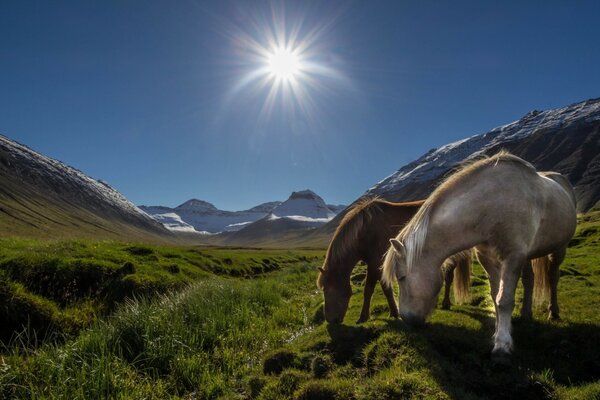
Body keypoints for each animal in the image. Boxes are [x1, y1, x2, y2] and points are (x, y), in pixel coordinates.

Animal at [316, 198, 472, 324]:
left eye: (327, 290)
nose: (330, 320)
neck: (365, 231)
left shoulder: (375, 264)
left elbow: (371, 290)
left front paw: (365, 317)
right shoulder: (376, 265)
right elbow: (384, 288)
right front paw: (393, 312)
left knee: (449, 277)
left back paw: (446, 303)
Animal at [382, 152, 576, 362]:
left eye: (401, 277)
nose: (407, 319)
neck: (490, 205)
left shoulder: (513, 255)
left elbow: (504, 300)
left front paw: (502, 347)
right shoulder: (488, 258)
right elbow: (495, 296)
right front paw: (498, 334)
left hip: (559, 249)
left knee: (553, 277)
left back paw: (553, 312)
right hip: (527, 256)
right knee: (529, 280)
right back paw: (526, 314)